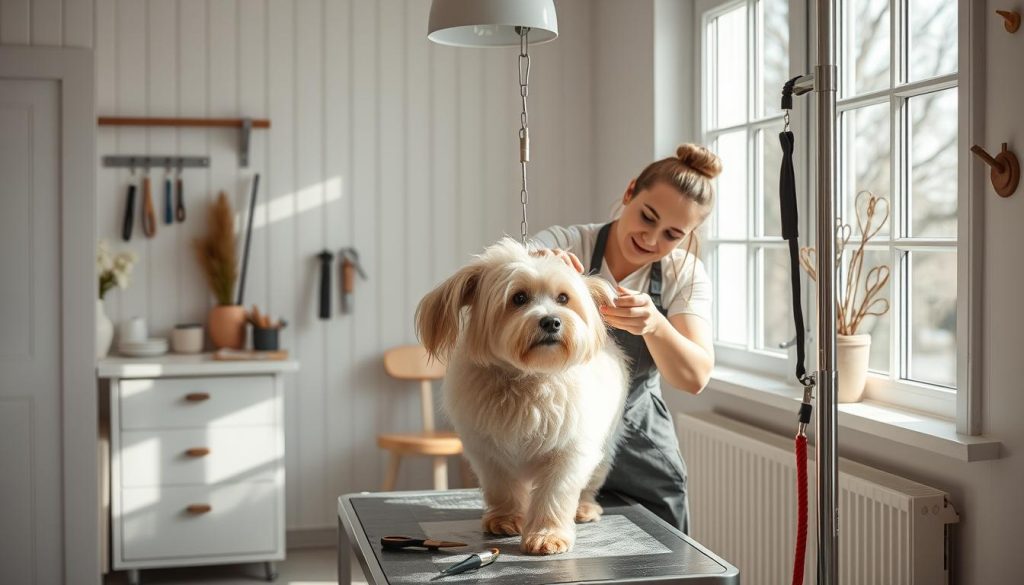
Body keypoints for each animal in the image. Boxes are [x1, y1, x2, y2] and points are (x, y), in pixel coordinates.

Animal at [413, 236, 622, 553]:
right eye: (519, 298)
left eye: (563, 298)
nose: (551, 321)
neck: (529, 379)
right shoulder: (488, 451)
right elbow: (503, 488)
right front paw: (505, 519)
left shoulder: (569, 451)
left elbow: (555, 493)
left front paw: (548, 535)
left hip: (603, 446)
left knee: (590, 482)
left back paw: (585, 508)